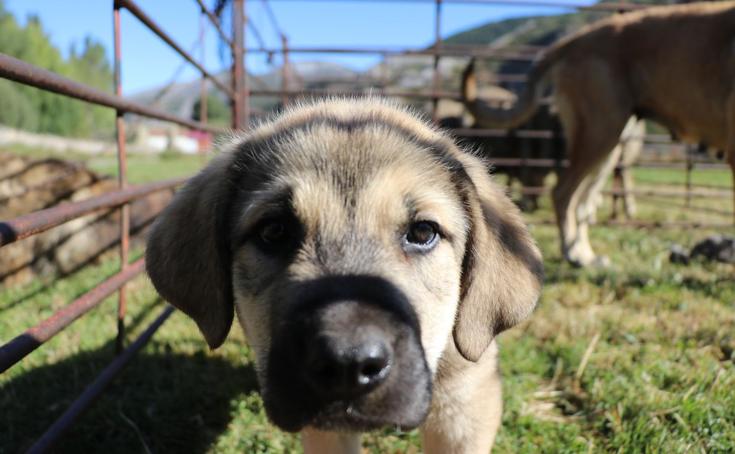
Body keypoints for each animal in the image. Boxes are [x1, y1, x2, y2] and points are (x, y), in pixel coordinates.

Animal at [462, 0, 735, 266]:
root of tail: (574, 40)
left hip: (609, 146)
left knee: (583, 203)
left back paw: (584, 253)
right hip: (599, 133)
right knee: (564, 193)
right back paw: (572, 253)